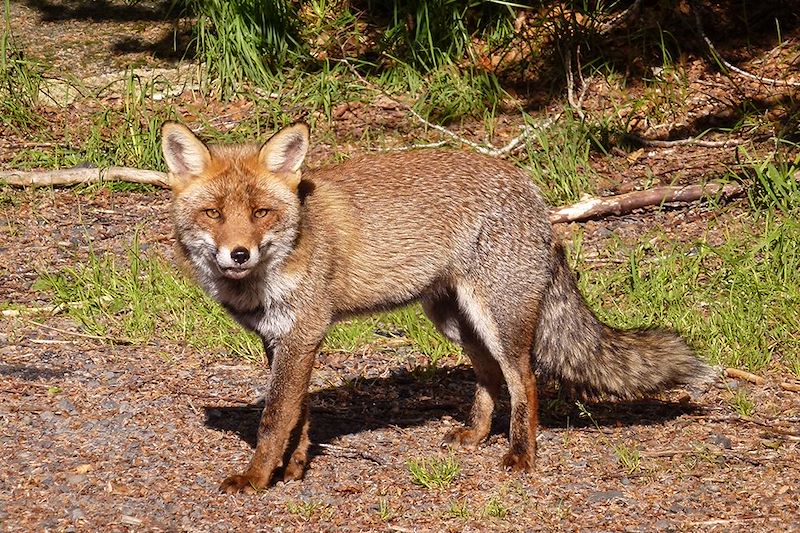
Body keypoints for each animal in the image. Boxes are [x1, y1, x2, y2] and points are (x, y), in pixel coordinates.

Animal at [161, 122, 712, 492]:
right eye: (213, 213)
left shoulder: (303, 333)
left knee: (525, 381)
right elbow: (299, 416)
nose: (238, 253)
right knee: (490, 377)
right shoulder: (282, 339)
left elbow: (275, 419)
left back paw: (520, 455)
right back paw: (476, 435)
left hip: (499, 319)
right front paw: (293, 469)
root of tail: (532, 190)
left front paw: (257, 478)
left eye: (261, 213)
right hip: (454, 321)